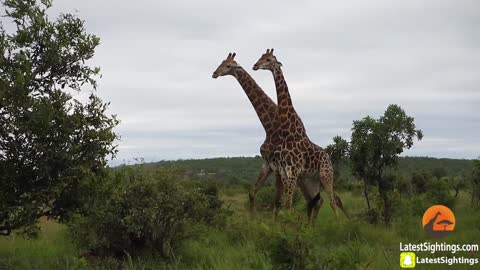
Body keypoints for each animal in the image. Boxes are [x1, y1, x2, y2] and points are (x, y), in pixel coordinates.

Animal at [210, 52, 322, 219]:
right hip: (304, 178)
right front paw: (252, 220)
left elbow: (277, 200)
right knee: (313, 200)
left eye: (228, 66)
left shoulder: (277, 166)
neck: (269, 127)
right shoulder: (267, 164)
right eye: (221, 62)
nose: (214, 73)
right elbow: (253, 194)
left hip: (303, 177)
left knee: (318, 200)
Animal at [251, 49, 348, 221]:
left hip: (326, 176)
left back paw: (339, 224)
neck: (288, 133)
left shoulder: (292, 171)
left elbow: (288, 204)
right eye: (261, 57)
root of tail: (328, 157)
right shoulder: (285, 171)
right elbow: (285, 203)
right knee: (318, 200)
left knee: (332, 201)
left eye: (268, 59)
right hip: (312, 180)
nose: (255, 65)